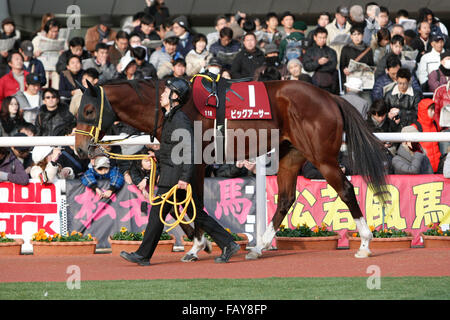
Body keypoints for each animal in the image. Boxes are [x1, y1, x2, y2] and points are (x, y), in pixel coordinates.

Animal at [74, 78, 386, 260]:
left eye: (88, 111)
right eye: (76, 110)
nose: (80, 148)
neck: (175, 108)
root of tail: (330, 97)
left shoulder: (196, 162)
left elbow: (191, 201)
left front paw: (202, 244)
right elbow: (175, 201)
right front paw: (202, 242)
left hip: (322, 157)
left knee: (346, 189)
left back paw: (365, 244)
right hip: (291, 154)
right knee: (285, 199)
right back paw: (259, 247)